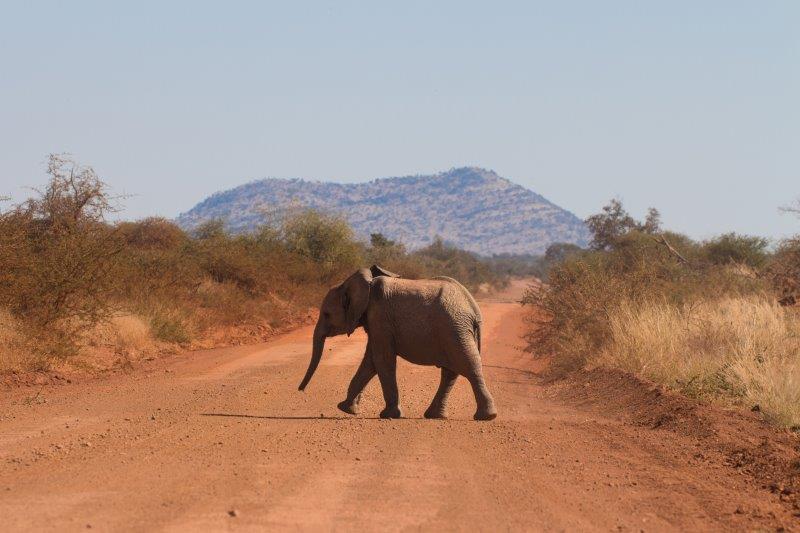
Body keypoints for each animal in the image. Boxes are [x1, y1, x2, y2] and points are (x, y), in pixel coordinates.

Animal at [296, 266, 496, 420]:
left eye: (326, 314)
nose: (301, 390)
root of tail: (473, 308)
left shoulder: (380, 316)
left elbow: (382, 359)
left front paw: (388, 415)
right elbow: (371, 361)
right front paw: (346, 408)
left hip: (454, 328)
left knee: (468, 366)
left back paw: (486, 417)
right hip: (455, 330)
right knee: (451, 372)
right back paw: (435, 416)